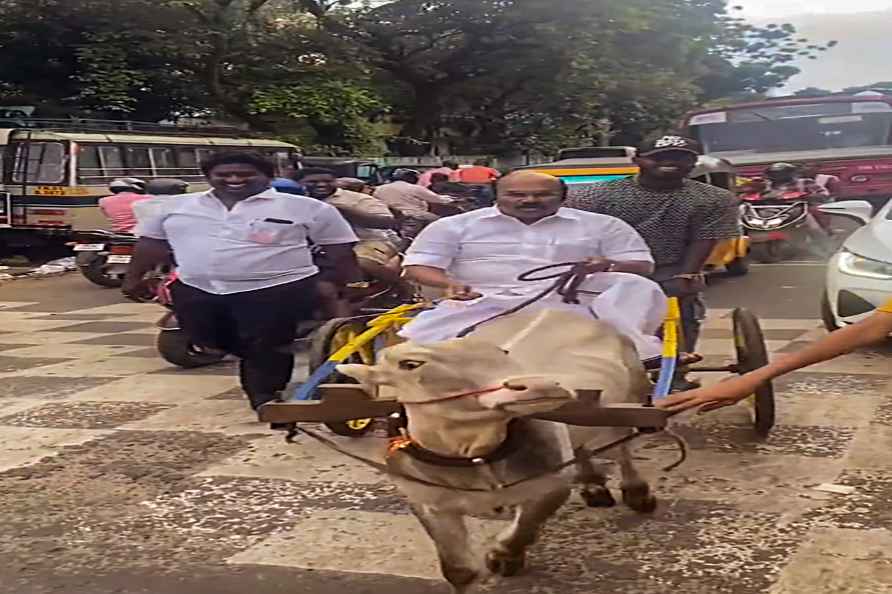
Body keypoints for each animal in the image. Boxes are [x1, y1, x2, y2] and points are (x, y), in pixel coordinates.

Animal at [338, 308, 660, 588]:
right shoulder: (427, 502)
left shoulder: (551, 486)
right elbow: (459, 571)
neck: (472, 455)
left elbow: (524, 528)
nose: (544, 385)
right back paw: (593, 485)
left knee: (622, 447)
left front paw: (503, 556)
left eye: (502, 353)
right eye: (410, 364)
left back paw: (636, 492)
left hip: (630, 395)